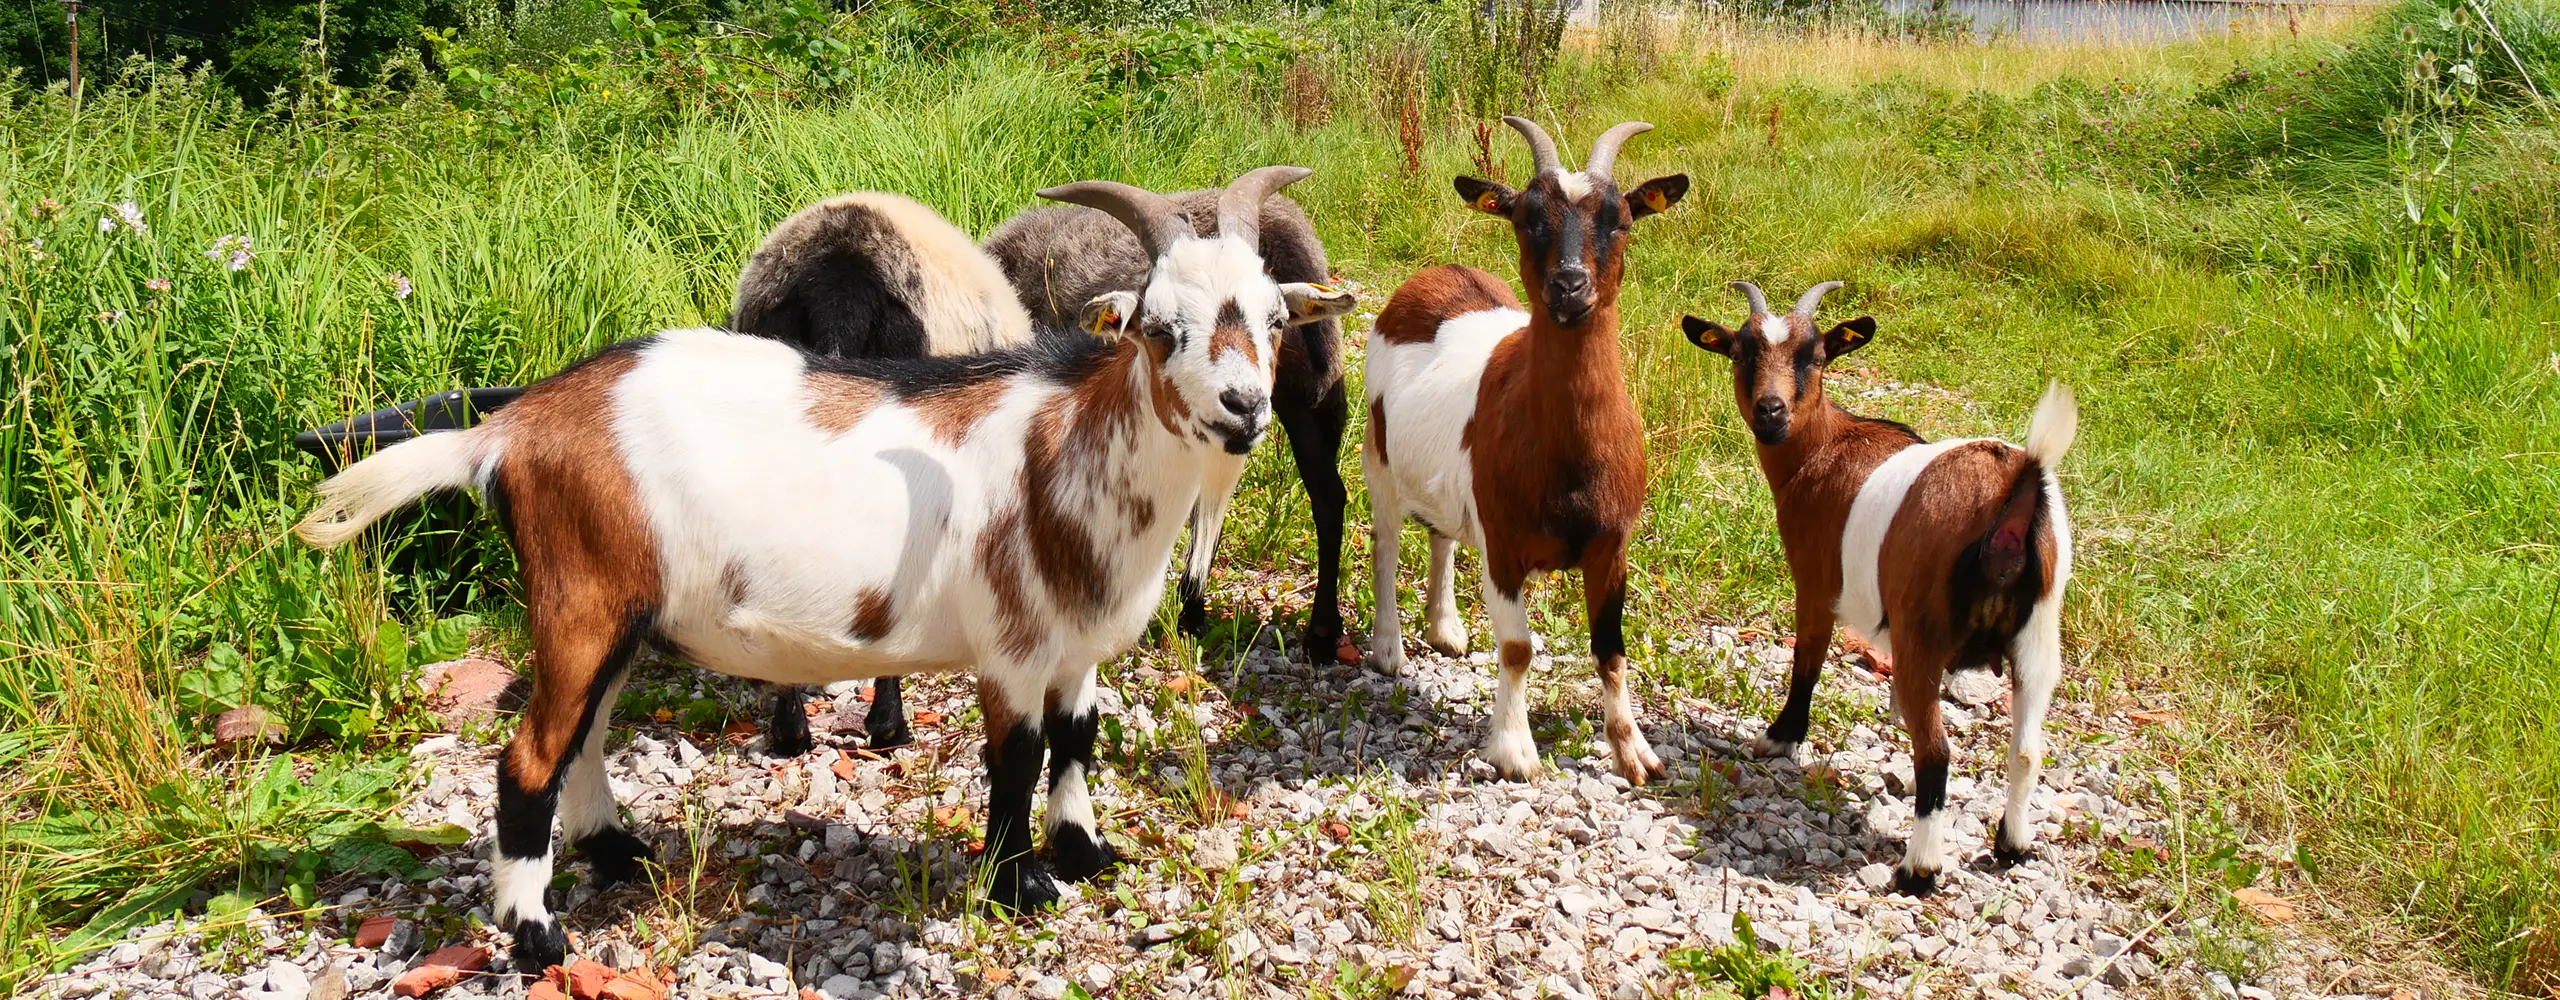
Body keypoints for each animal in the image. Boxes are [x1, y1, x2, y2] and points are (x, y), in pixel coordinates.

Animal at [293, 168, 1357, 973]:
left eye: (1273, 318)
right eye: (1157, 326)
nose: (1243, 407)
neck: (1063, 450)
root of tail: (510, 429)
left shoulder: (1078, 643)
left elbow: (1078, 739)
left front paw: (1086, 850)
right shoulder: (1013, 644)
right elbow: (1015, 757)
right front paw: (1020, 884)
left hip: (623, 611)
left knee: (584, 736)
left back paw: (618, 851)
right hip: (578, 597)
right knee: (527, 759)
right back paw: (537, 936)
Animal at [1364, 117, 1689, 786]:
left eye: (1621, 219)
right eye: (1526, 217)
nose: (1569, 285)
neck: (1568, 461)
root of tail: (1433, 274)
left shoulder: (1611, 544)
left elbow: (1611, 649)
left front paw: (1634, 751)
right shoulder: (1505, 543)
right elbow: (1516, 649)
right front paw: (1514, 751)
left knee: (1440, 533)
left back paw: (1446, 628)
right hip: (1378, 457)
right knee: (1386, 542)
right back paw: (1388, 649)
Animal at [1680, 282, 2076, 895]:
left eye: (1814, 355)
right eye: (1740, 353)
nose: (1771, 411)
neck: (1824, 447)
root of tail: (2016, 494)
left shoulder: (1815, 581)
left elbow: (1808, 658)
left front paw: (1781, 737)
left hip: (1924, 631)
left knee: (1936, 753)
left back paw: (1918, 870)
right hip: (2039, 634)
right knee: (2027, 748)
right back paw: (2012, 846)